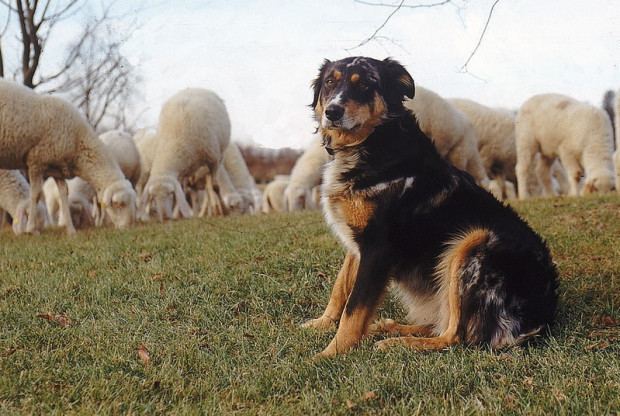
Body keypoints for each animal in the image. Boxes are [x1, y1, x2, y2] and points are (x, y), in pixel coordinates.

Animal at [0, 81, 136, 234]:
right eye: (118, 204)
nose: (127, 228)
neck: (78, 141)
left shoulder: (57, 168)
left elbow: (64, 194)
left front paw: (71, 230)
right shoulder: (36, 161)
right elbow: (35, 195)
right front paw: (31, 228)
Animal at [142, 88, 230, 221]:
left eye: (170, 193)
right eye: (153, 197)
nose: (165, 218)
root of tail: (196, 88)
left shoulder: (213, 160)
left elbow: (215, 187)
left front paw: (223, 211)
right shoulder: (182, 171)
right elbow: (182, 191)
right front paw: (179, 215)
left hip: (219, 156)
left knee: (211, 186)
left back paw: (217, 210)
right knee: (207, 187)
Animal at [302, 57, 560, 358]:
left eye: (364, 84)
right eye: (330, 82)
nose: (332, 112)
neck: (375, 142)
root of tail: (544, 313)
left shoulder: (378, 248)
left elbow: (354, 308)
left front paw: (330, 354)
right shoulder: (357, 243)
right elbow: (340, 287)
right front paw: (322, 324)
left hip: (472, 242)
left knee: (455, 336)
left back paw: (399, 343)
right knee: (441, 325)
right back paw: (392, 328)